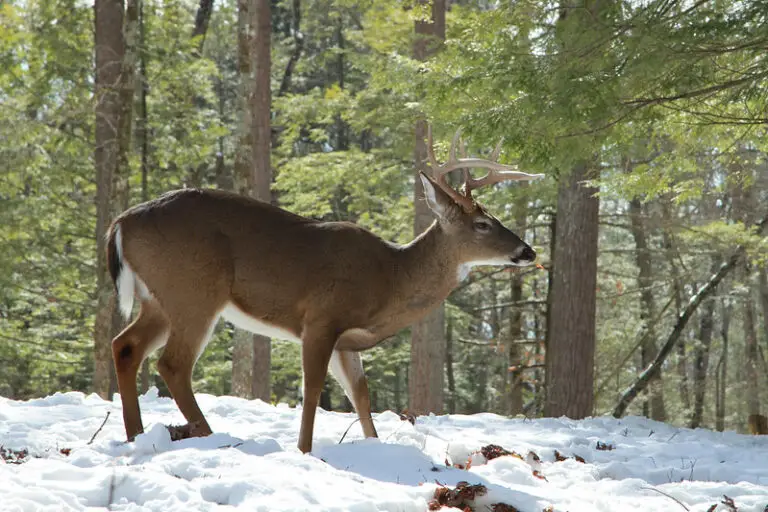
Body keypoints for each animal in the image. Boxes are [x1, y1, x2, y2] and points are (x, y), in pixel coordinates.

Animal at [106, 126, 544, 454]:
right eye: (482, 225)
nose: (528, 250)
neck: (390, 278)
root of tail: (121, 223)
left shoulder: (346, 342)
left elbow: (361, 396)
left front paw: (374, 447)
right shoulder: (320, 318)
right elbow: (313, 389)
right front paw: (304, 450)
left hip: (158, 298)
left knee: (125, 346)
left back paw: (135, 436)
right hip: (195, 291)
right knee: (172, 364)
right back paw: (209, 436)